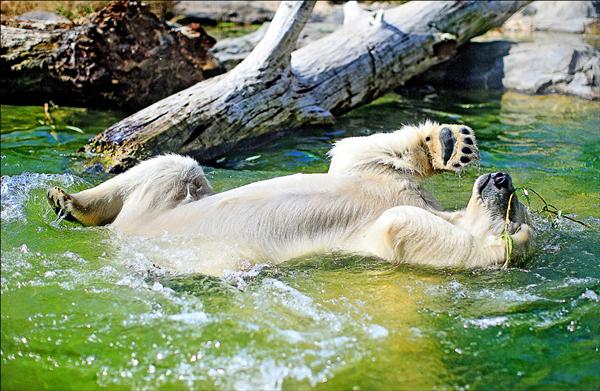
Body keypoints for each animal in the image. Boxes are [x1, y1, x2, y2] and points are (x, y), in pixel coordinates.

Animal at [48, 121, 536, 274]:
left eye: (514, 215)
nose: (502, 179)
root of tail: (126, 234)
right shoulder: (380, 180)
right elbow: (356, 152)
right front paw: (453, 144)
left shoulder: (380, 241)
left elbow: (398, 225)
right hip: (165, 202)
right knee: (177, 167)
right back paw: (67, 200)